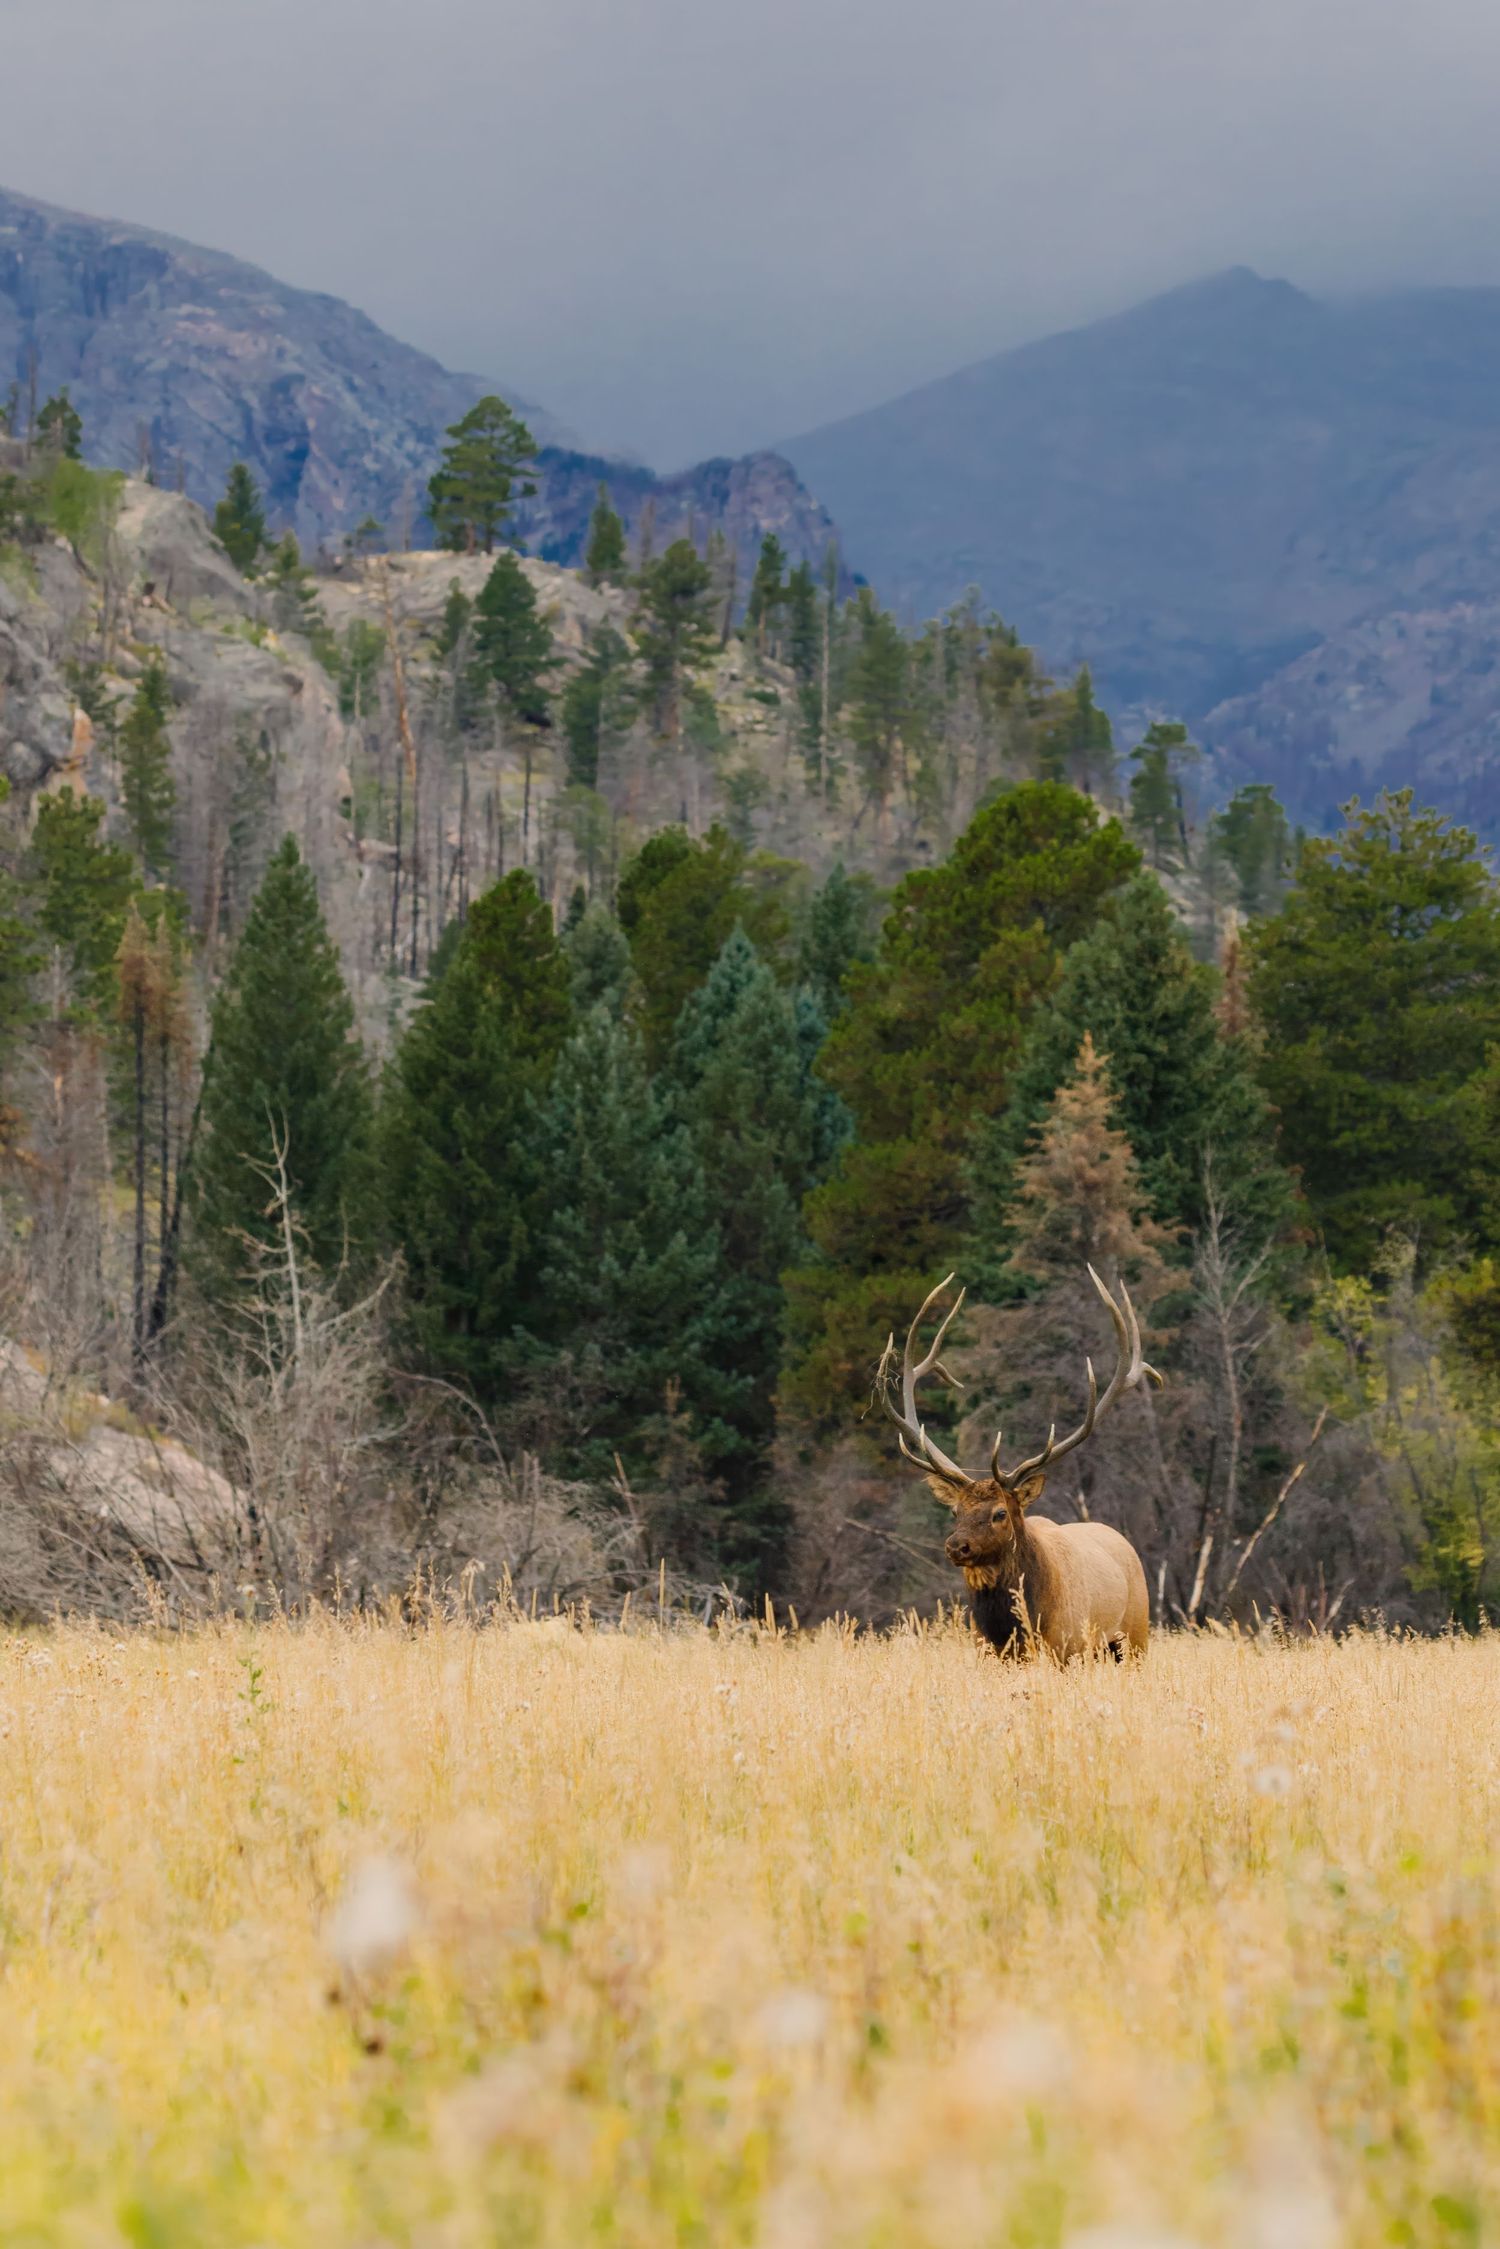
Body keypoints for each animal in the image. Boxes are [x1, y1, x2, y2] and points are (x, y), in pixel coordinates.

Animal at [875, 1267, 1161, 1660]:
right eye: (955, 1511)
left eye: (1000, 1513)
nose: (957, 1546)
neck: (1013, 1633)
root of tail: (1123, 1542)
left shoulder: (1066, 1650)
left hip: (1135, 1637)